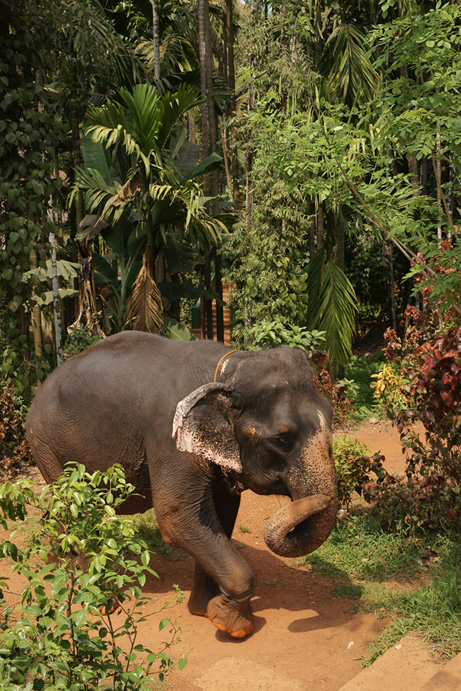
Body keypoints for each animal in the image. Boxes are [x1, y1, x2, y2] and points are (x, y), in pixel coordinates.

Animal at [27, 332, 338, 640]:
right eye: (282, 439)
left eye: (332, 417)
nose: (322, 500)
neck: (228, 372)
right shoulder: (169, 437)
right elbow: (177, 517)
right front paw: (233, 625)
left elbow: (220, 516)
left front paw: (204, 609)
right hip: (44, 442)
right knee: (76, 511)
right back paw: (96, 598)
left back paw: (61, 562)